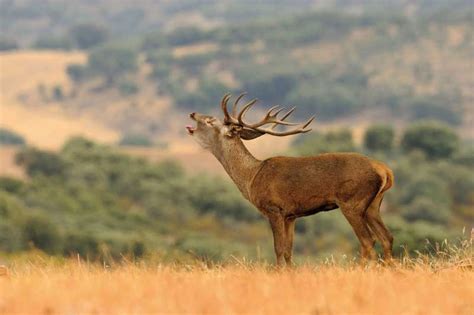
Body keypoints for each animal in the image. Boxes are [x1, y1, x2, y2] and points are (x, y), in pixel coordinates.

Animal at [187, 93, 394, 266]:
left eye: (210, 121)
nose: (193, 113)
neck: (251, 177)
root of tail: (385, 171)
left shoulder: (274, 209)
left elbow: (278, 249)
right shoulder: (291, 215)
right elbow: (288, 251)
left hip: (352, 202)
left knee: (368, 241)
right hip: (373, 205)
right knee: (387, 237)